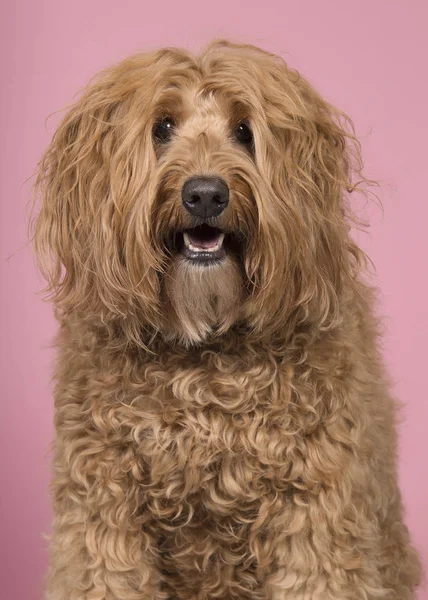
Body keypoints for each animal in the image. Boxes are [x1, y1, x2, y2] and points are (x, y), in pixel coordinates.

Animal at [33, 39, 422, 596]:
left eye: (244, 131)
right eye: (162, 127)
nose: (205, 194)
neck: (205, 354)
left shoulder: (316, 514)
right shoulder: (104, 512)